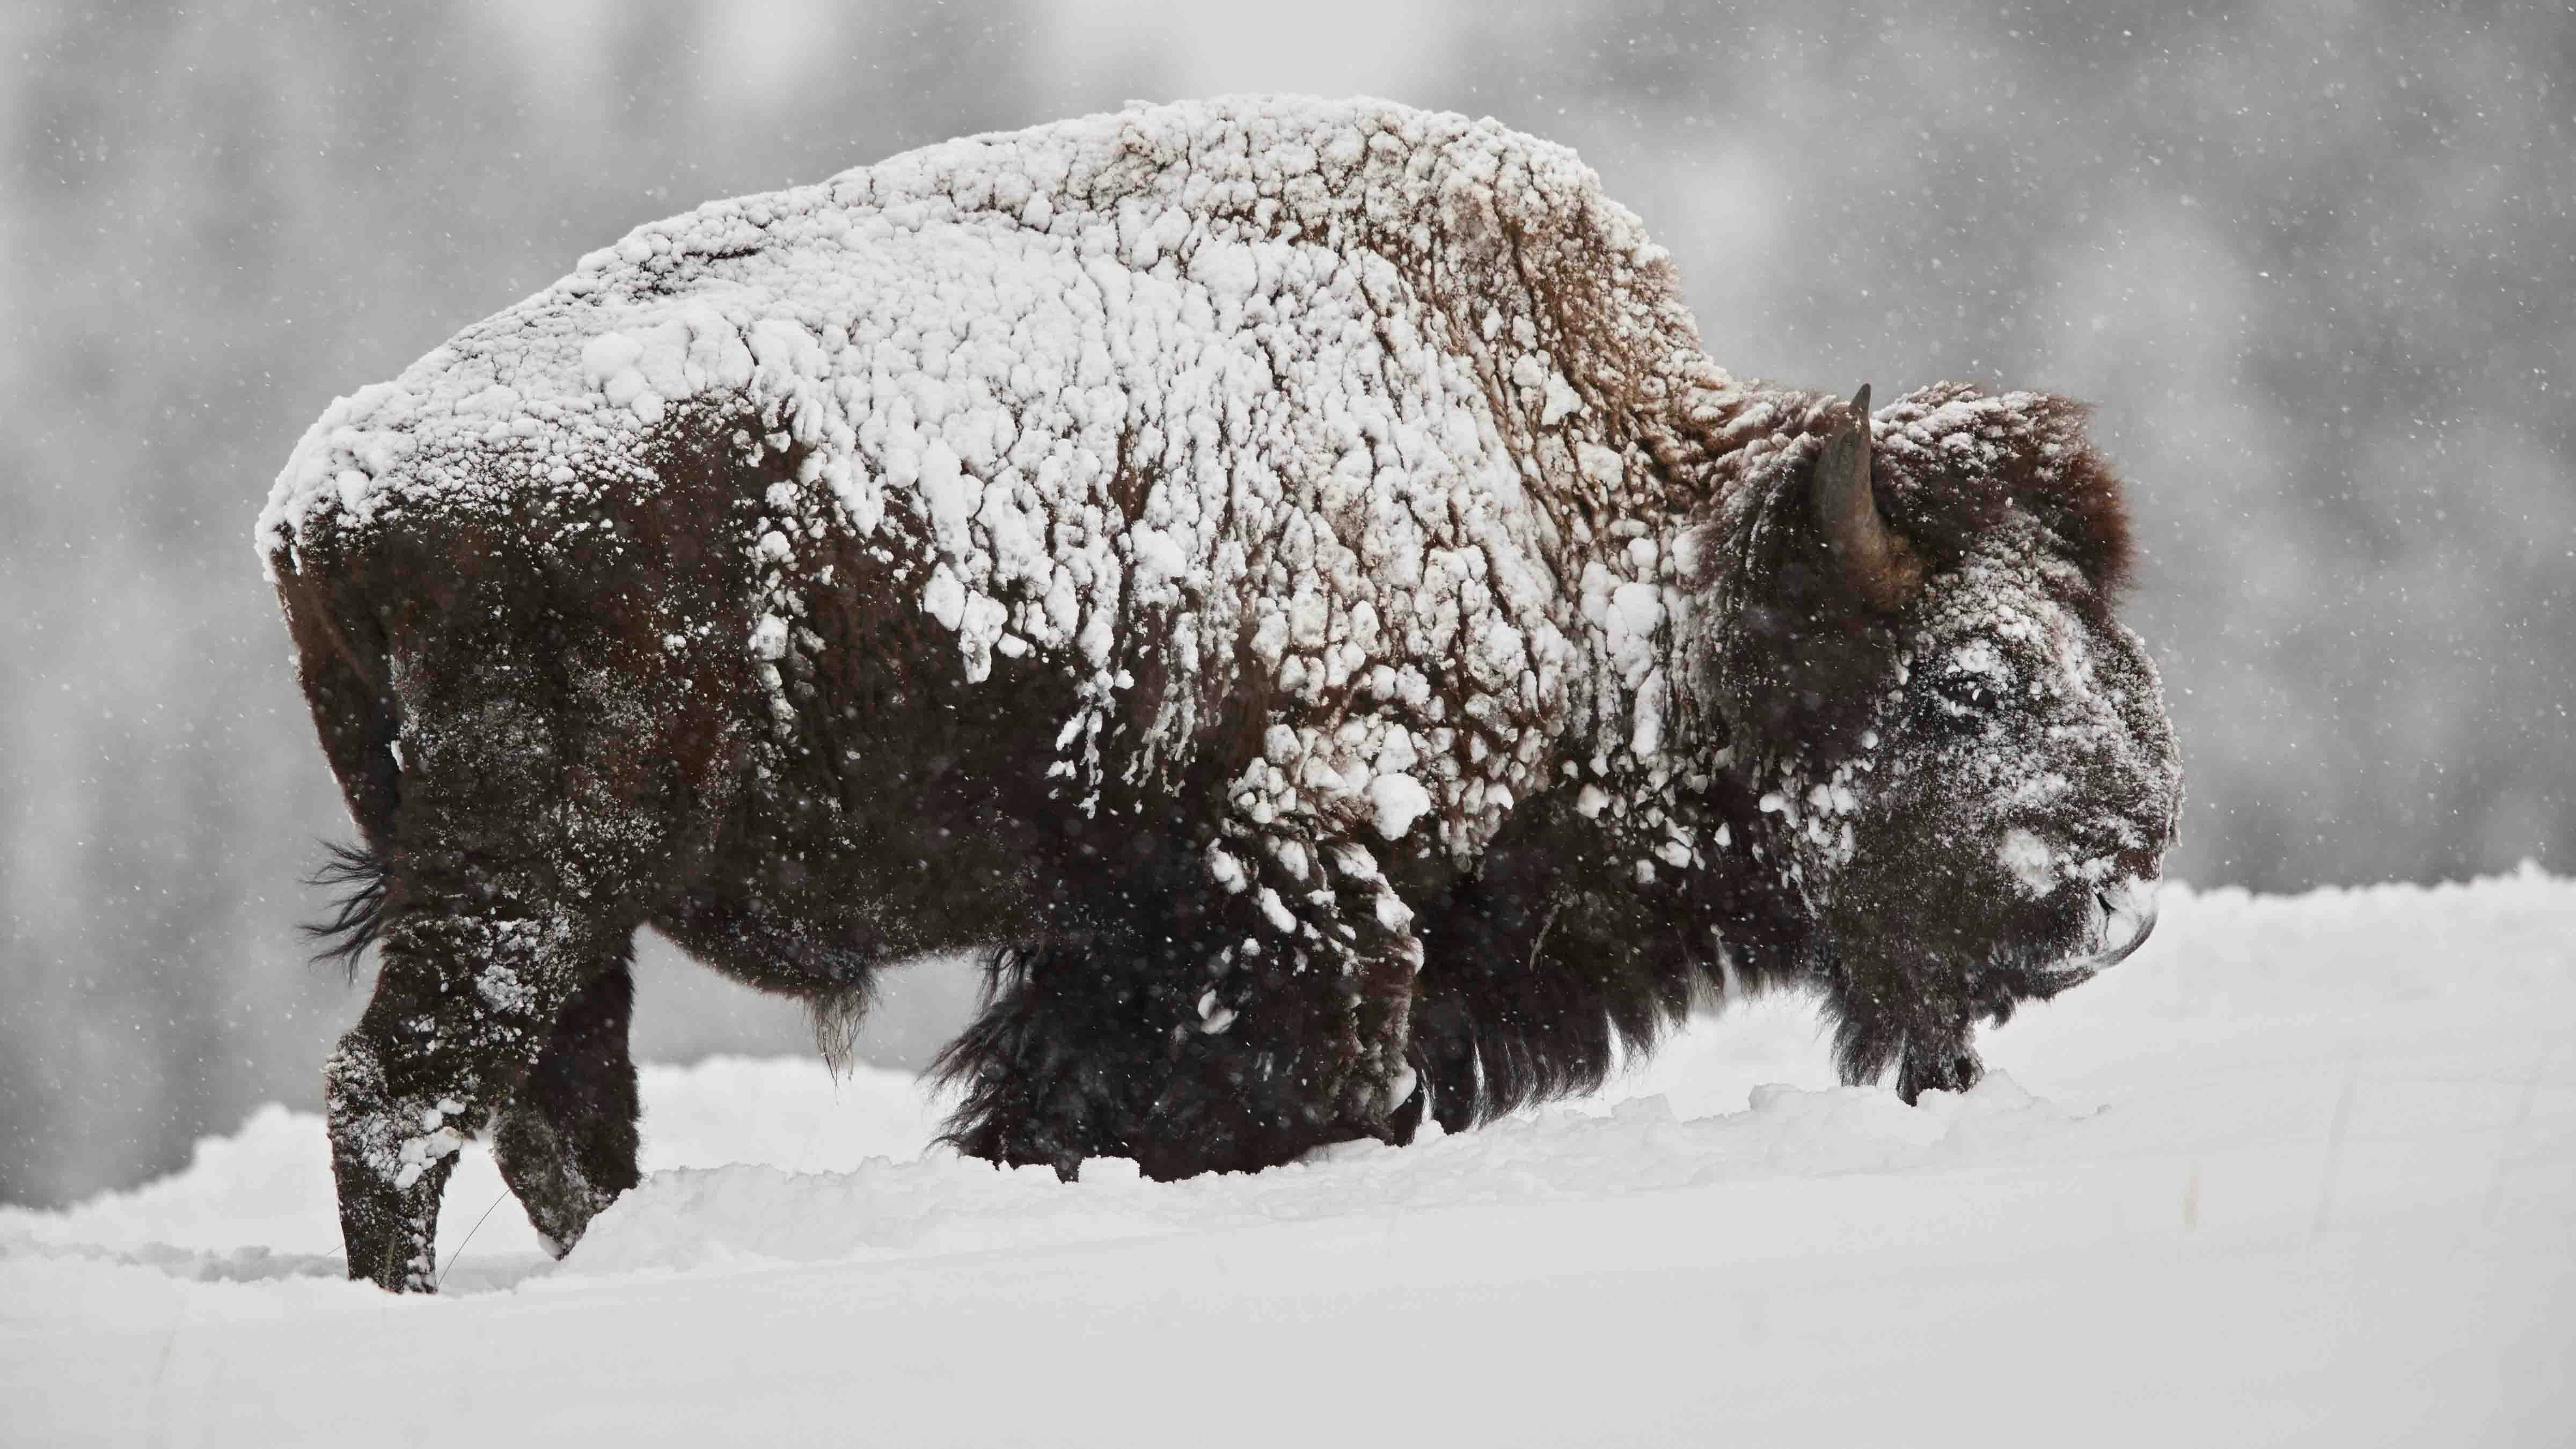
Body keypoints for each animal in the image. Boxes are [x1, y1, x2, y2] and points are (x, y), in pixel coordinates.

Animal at [263, 97, 2181, 1291]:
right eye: (1965, 682)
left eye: (2110, 652)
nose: (2120, 890)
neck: (1581, 508)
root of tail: (328, 494)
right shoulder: (1292, 907)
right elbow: (1249, 1097)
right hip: (534, 873)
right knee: (407, 1102)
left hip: (558, 905)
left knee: (549, 1125)